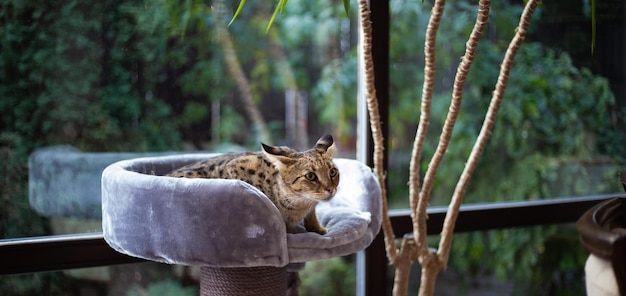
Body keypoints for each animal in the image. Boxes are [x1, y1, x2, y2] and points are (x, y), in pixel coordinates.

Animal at [166, 135, 338, 236]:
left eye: (333, 172)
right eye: (310, 176)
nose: (330, 189)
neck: (300, 202)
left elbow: (312, 215)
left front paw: (317, 228)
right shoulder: (234, 166)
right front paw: (291, 230)